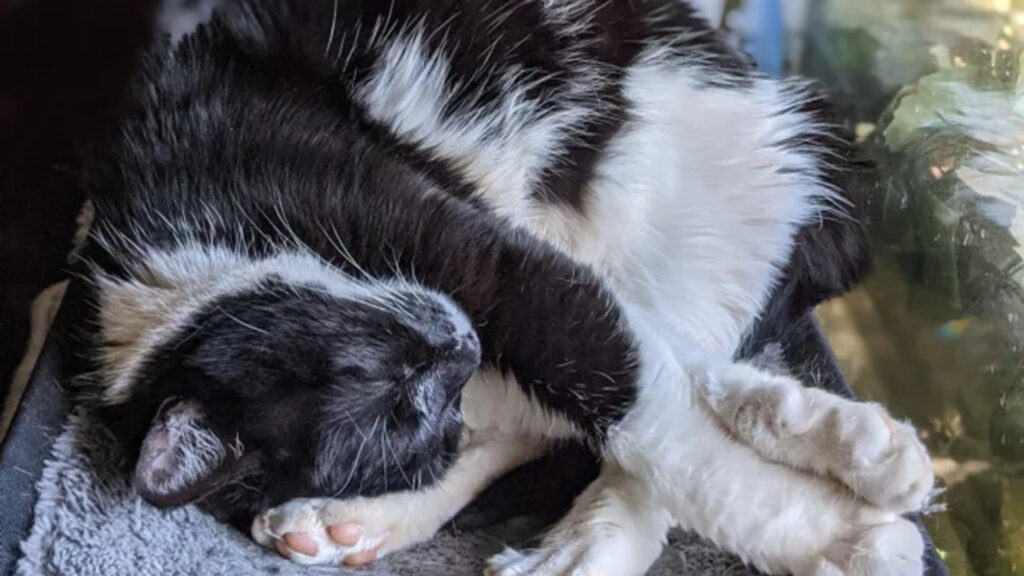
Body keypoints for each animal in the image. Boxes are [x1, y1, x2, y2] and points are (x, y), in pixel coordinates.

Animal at [72, 1, 937, 573]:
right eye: (402, 415)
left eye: (375, 367)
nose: (455, 347)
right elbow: (630, 387)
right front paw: (842, 519)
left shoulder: (458, 244)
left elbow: (655, 417)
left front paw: (843, 526)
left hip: (674, 204)